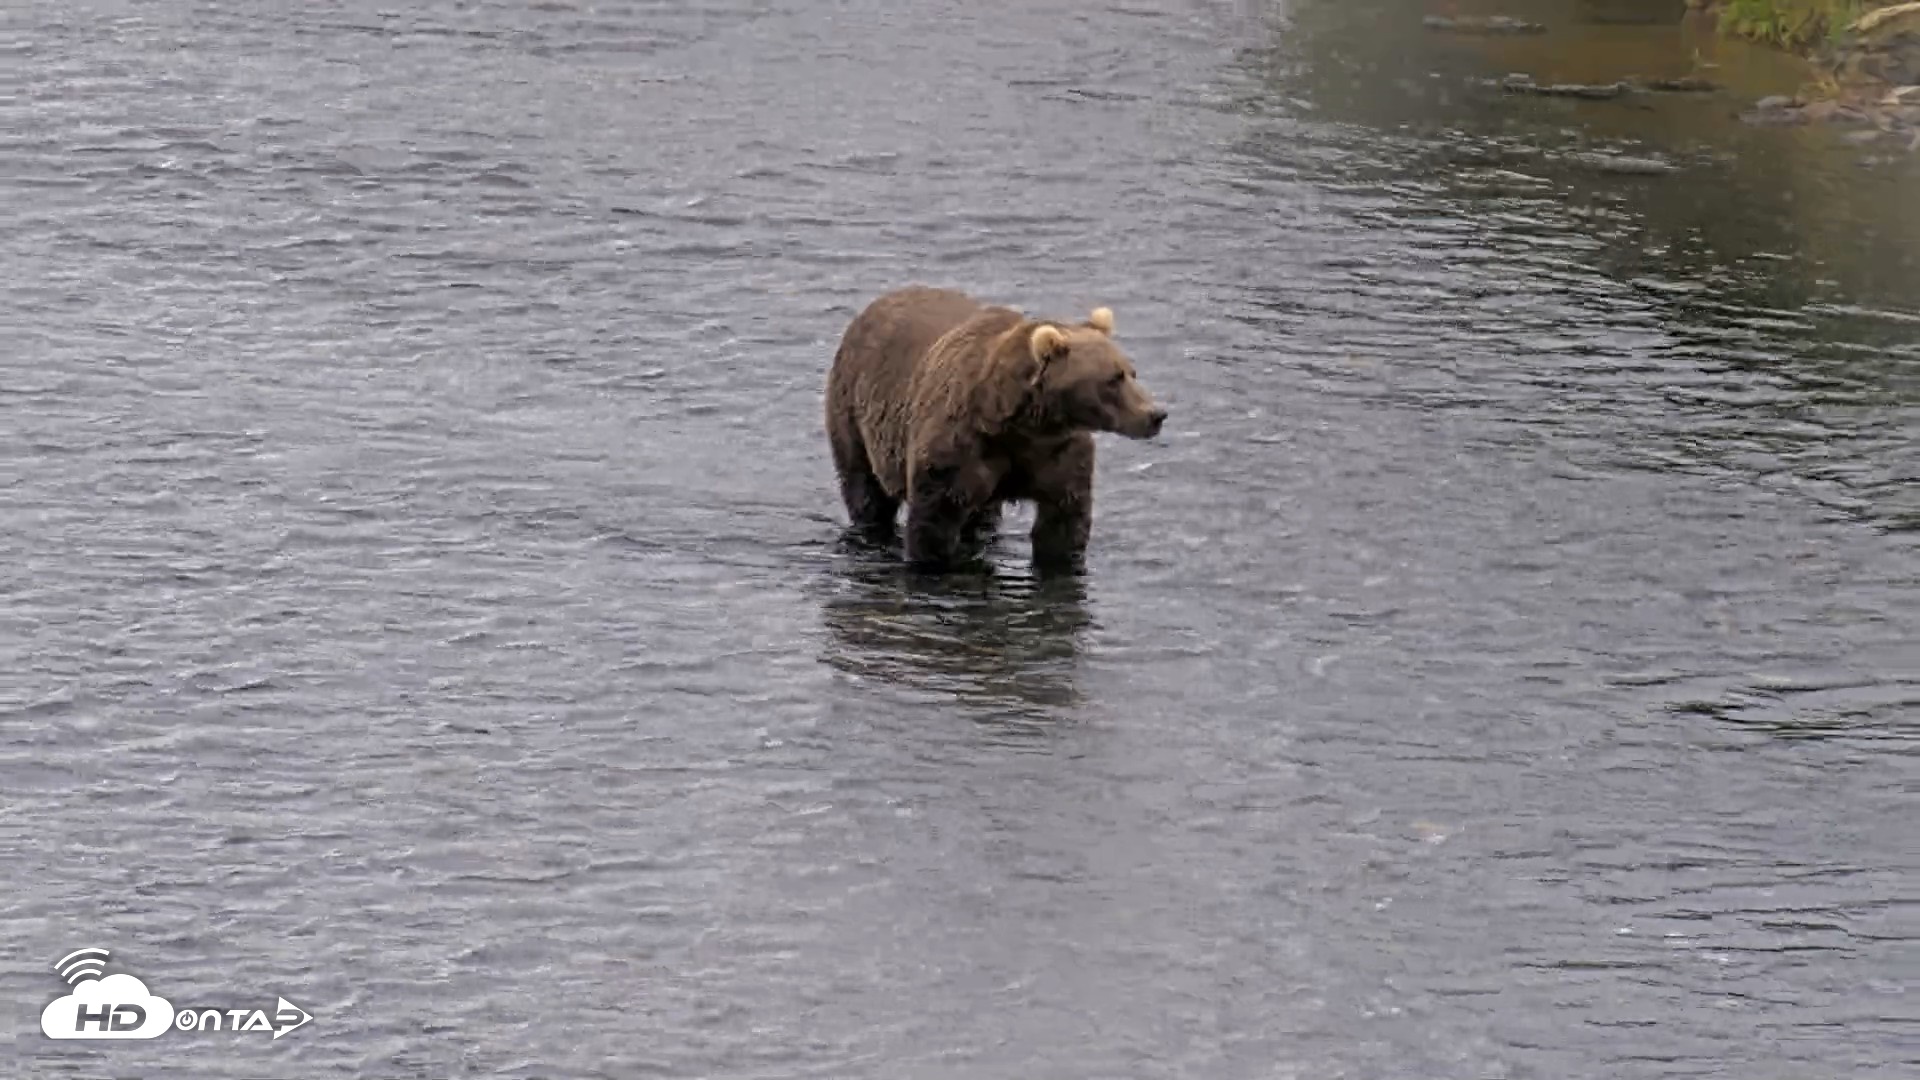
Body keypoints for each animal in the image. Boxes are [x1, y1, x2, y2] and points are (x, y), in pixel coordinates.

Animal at [823, 285, 1168, 572]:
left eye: (1131, 372)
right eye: (1113, 379)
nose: (1156, 414)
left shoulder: (1059, 453)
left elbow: (1063, 522)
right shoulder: (958, 448)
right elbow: (934, 521)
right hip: (852, 408)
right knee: (864, 489)